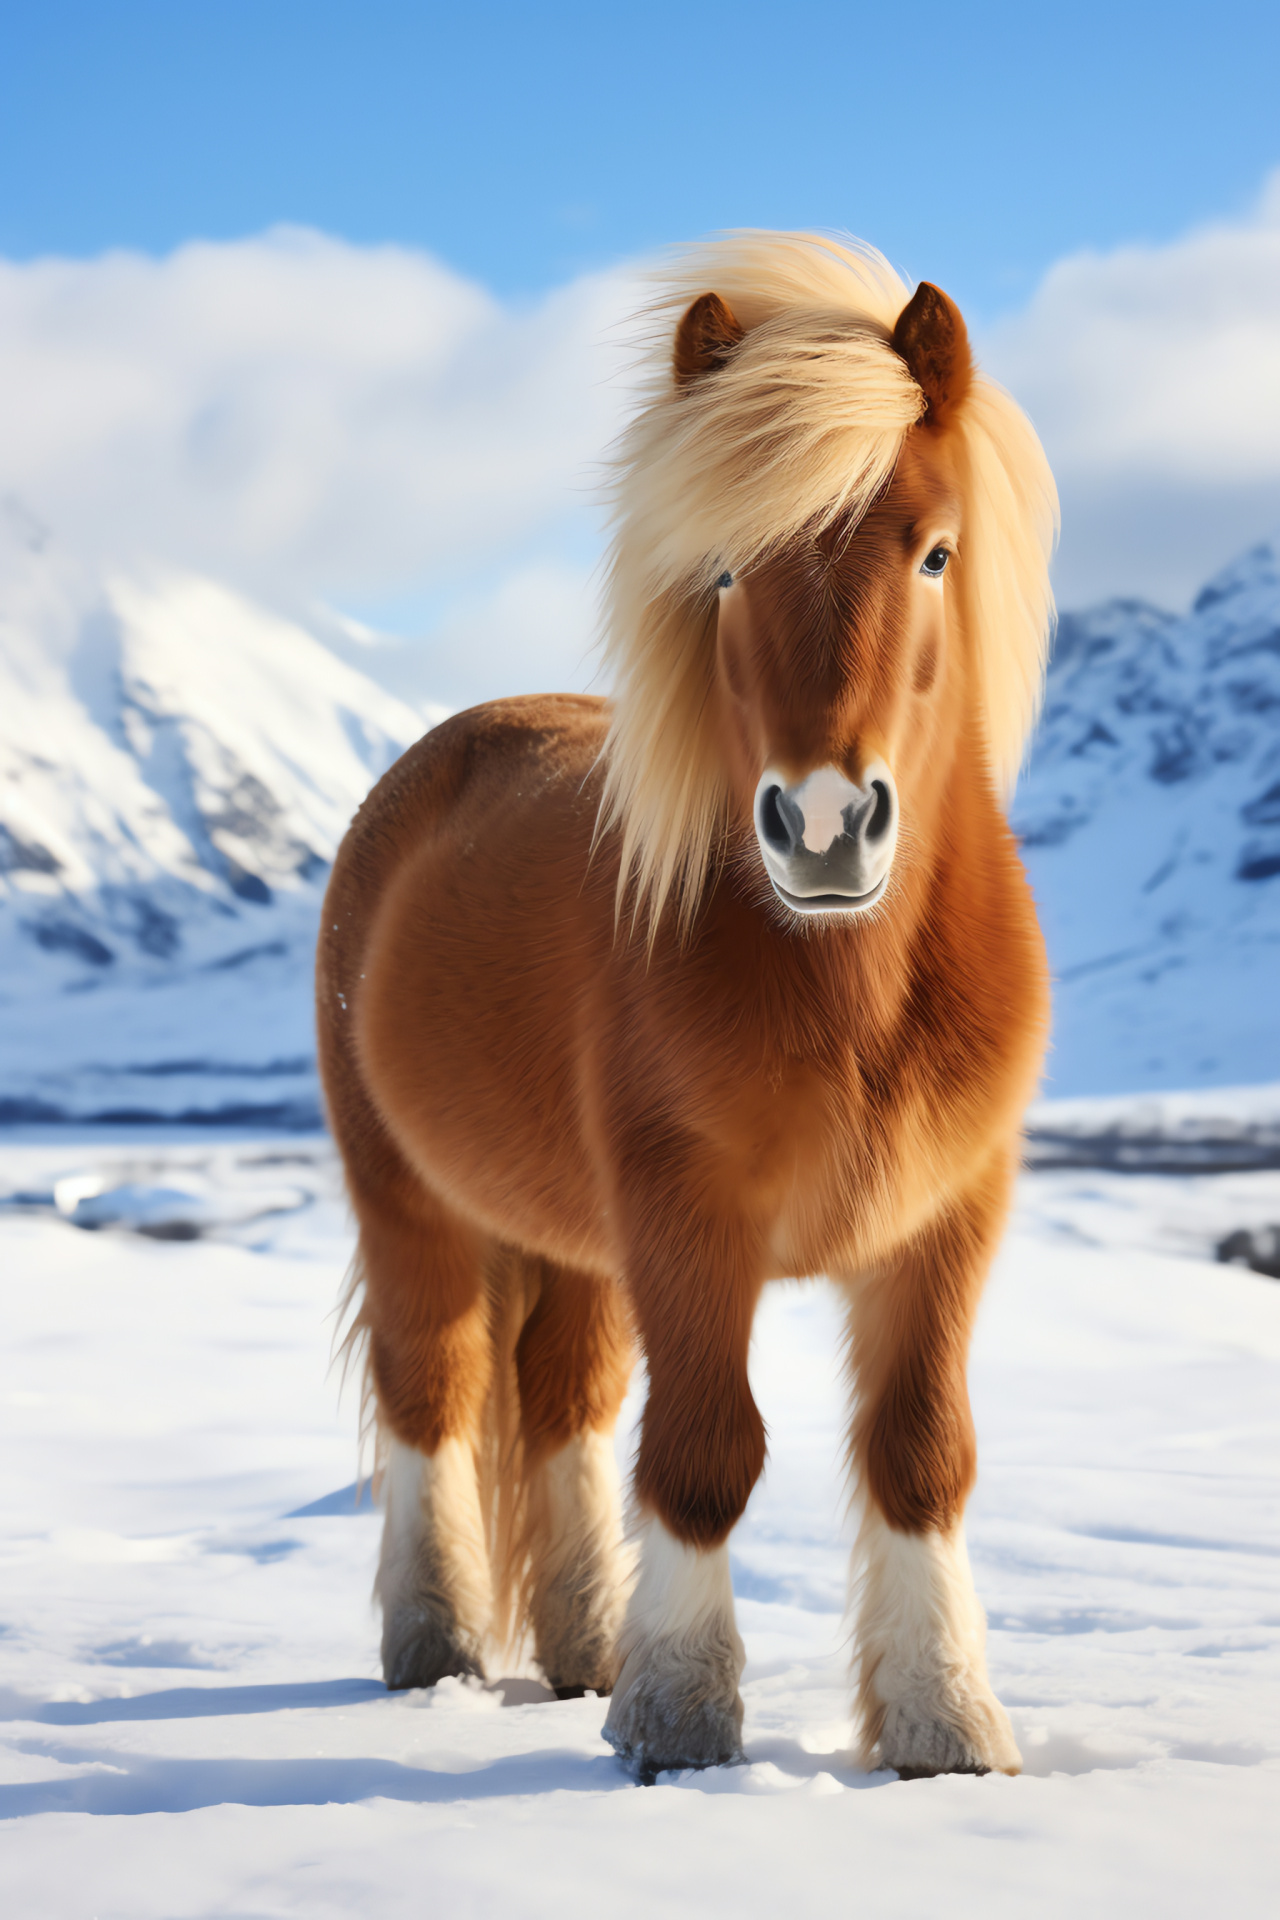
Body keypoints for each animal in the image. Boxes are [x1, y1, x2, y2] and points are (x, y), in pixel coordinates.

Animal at [320, 228, 1059, 1781]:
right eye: (722, 570)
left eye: (936, 550)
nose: (825, 827)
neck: (847, 991)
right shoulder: (688, 1223)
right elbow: (709, 1451)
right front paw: (678, 1724)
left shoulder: (946, 1222)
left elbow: (919, 1453)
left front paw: (944, 1727)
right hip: (409, 1202)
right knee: (437, 1393)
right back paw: (437, 1649)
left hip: (578, 1245)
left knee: (563, 1402)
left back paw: (583, 1649)